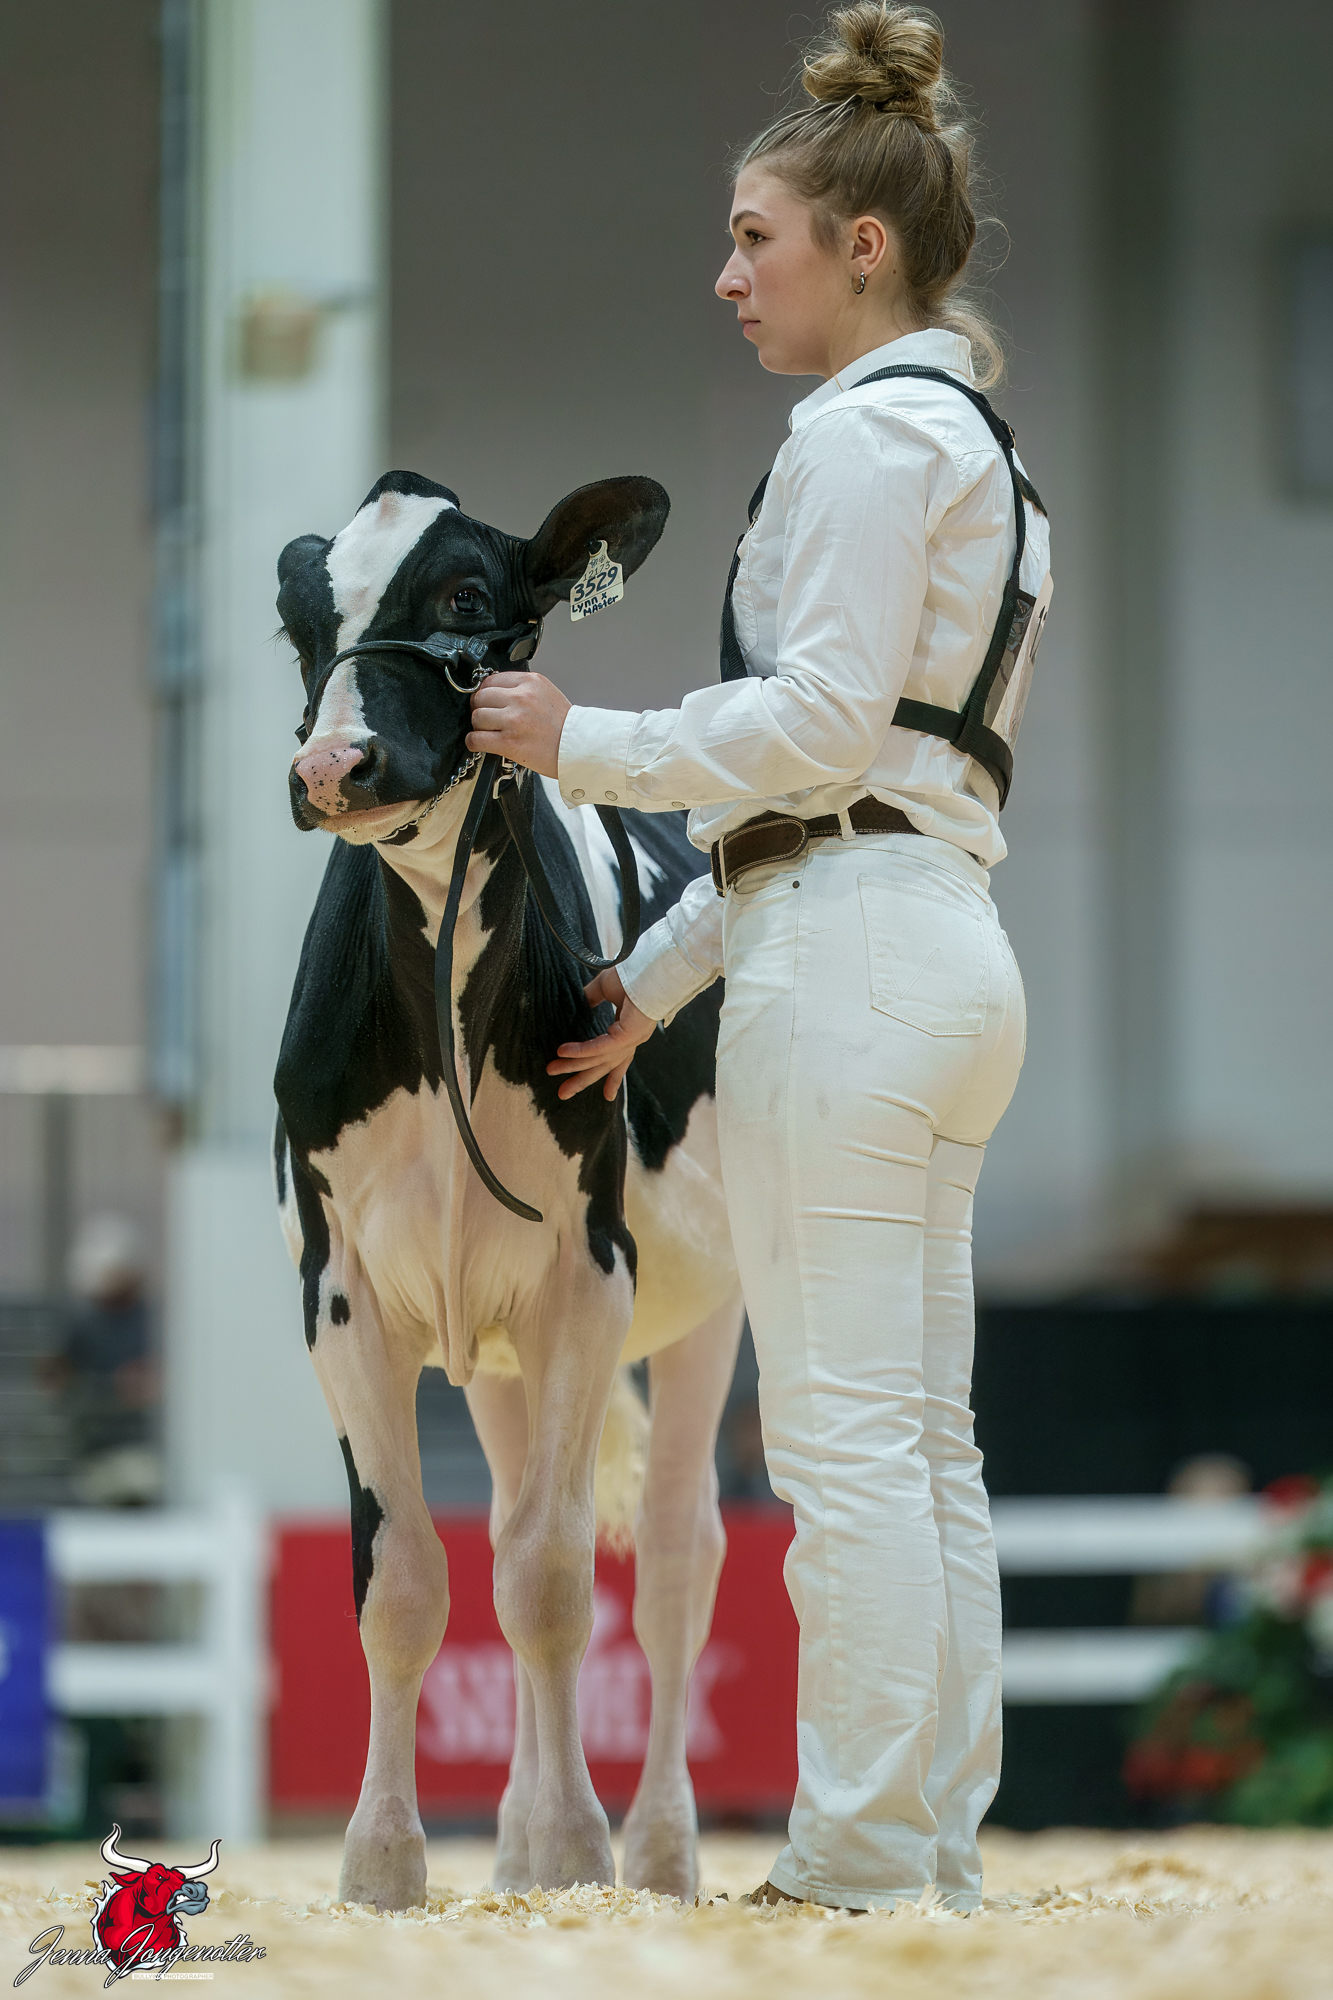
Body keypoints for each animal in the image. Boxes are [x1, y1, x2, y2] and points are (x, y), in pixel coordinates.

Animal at [272, 470, 744, 1912]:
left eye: (467, 598)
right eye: (302, 624)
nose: (330, 766)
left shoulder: (589, 1276)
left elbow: (549, 1578)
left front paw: (584, 1851)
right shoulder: (340, 1291)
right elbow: (407, 1578)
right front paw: (383, 1864)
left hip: (715, 1305)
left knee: (674, 1556)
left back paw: (650, 1847)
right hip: (488, 1348)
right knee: (514, 1525)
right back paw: (529, 1838)